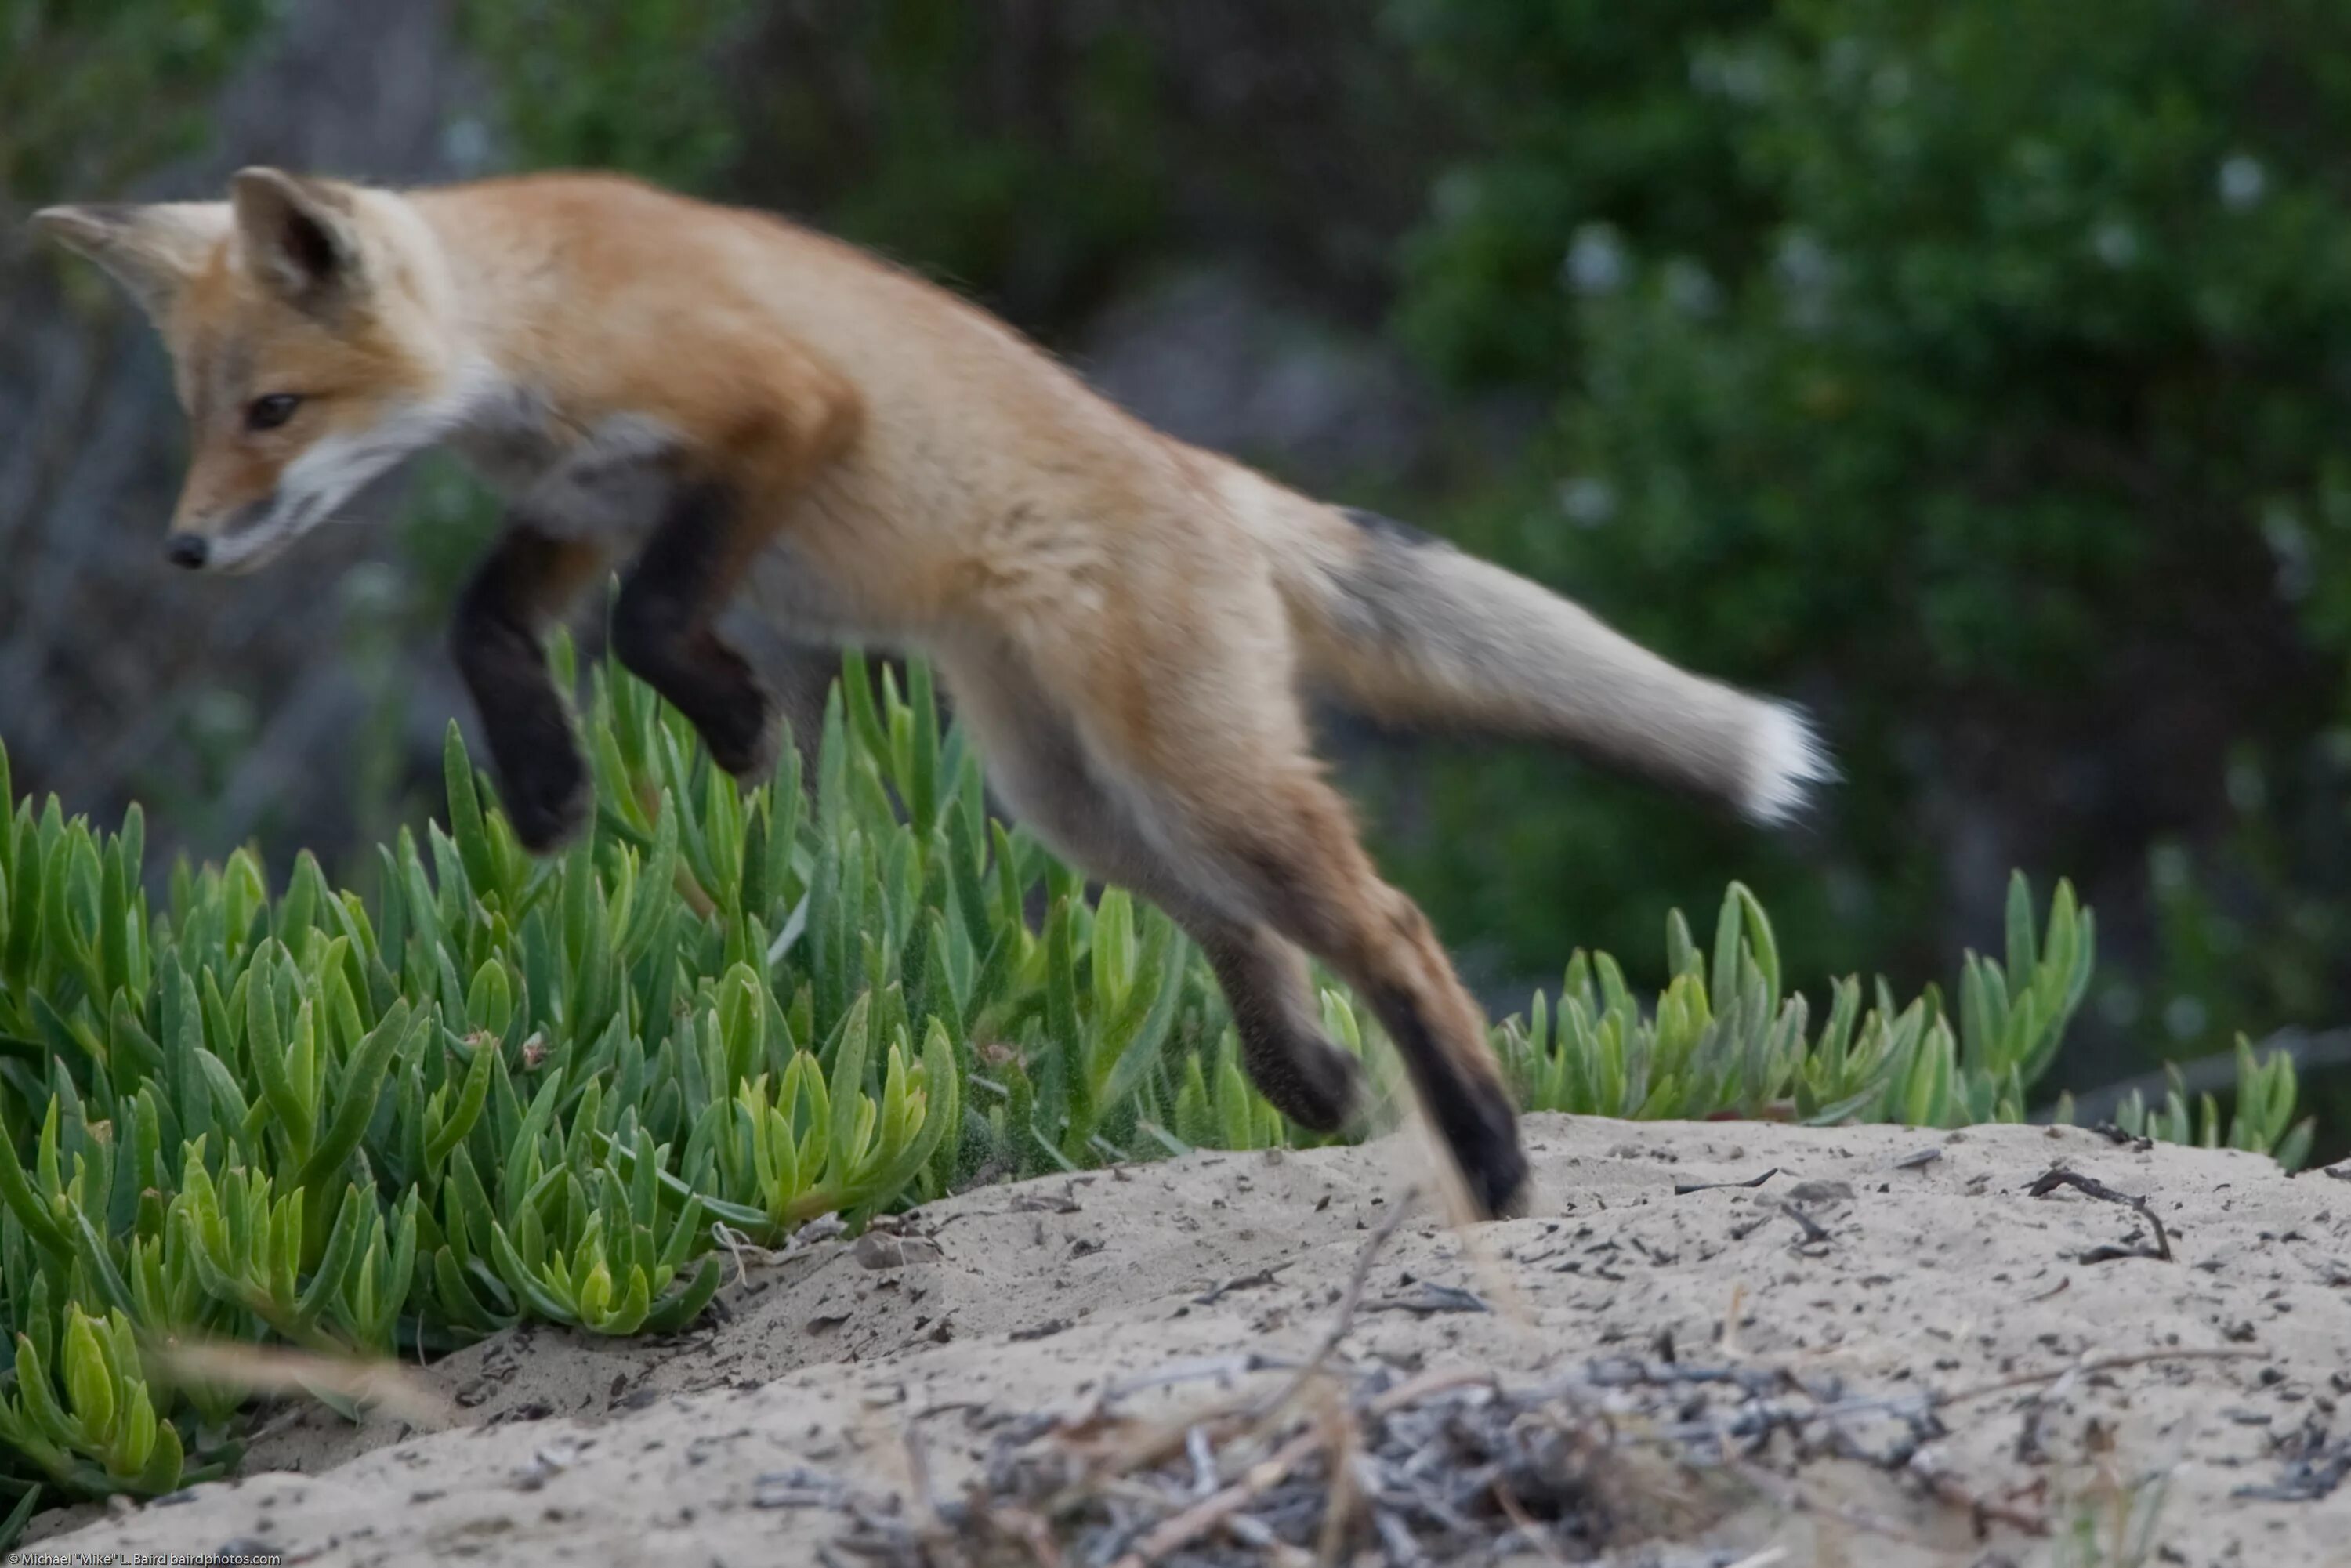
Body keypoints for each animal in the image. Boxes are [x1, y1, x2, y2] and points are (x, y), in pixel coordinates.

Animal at [41, 169, 1834, 1213]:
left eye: (274, 409)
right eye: (204, 411)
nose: (185, 546)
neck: (536, 308)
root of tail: (1207, 475)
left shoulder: (773, 415)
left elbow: (654, 624)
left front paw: (733, 720)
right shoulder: (582, 500)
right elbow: (489, 628)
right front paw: (549, 788)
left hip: (1184, 775)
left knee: (1382, 920)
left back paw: (1487, 1147)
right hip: (1078, 797)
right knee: (1243, 927)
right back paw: (1315, 1082)